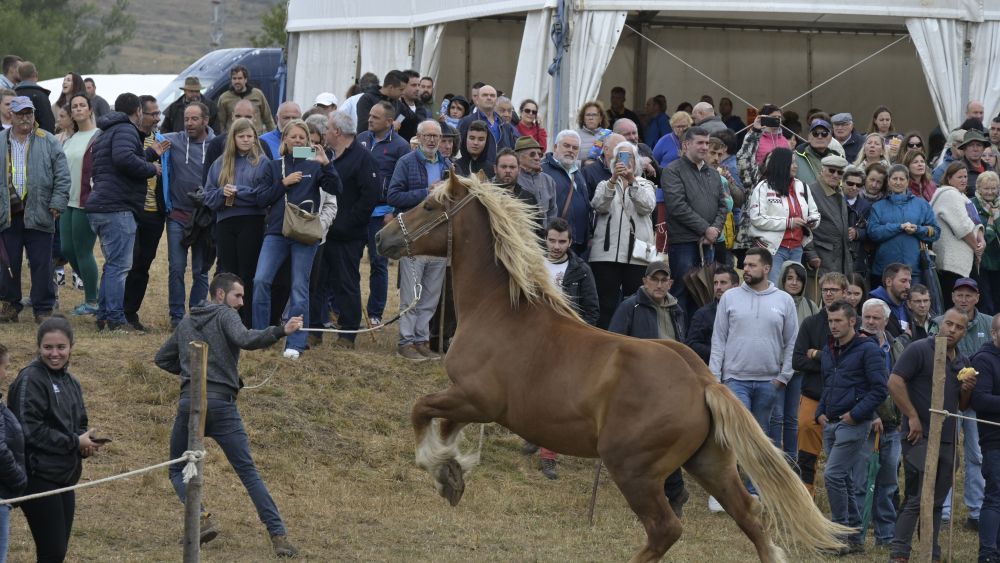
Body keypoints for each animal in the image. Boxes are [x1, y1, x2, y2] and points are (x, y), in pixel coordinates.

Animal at [376, 174, 852, 560]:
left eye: (430, 206)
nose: (383, 237)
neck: (499, 310)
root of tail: (702, 382)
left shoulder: (476, 400)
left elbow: (420, 411)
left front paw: (442, 468)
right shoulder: (463, 402)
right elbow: (441, 428)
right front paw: (450, 475)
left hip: (633, 469)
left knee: (666, 529)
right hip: (710, 463)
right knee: (750, 517)